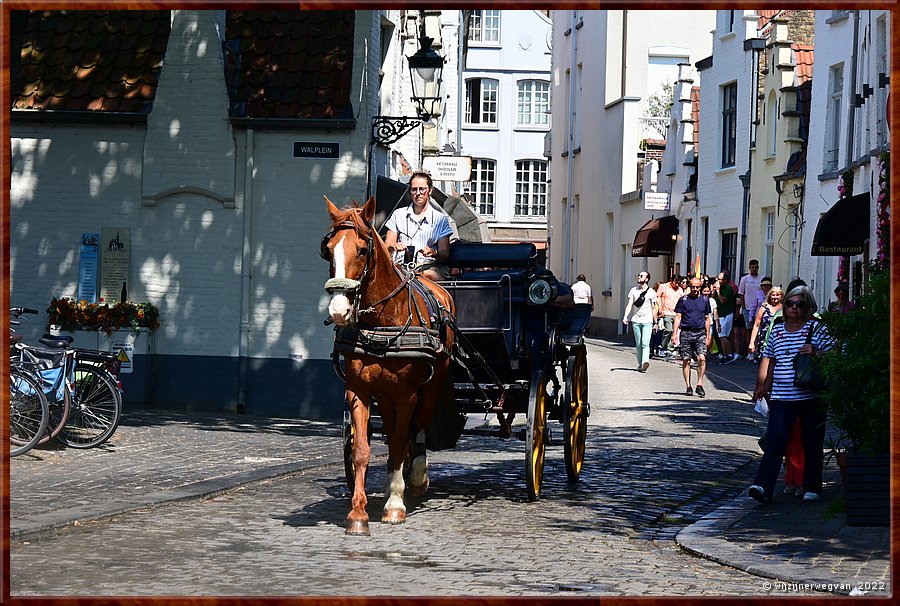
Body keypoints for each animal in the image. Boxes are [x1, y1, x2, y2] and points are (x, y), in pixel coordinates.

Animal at [322, 196, 458, 536]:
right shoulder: (358, 390)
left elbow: (397, 441)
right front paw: (358, 513)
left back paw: (417, 477)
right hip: (384, 394)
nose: (339, 310)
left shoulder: (407, 393)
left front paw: (395, 505)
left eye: (362, 250)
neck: (382, 323)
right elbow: (362, 450)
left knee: (418, 425)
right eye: (328, 249)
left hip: (432, 384)